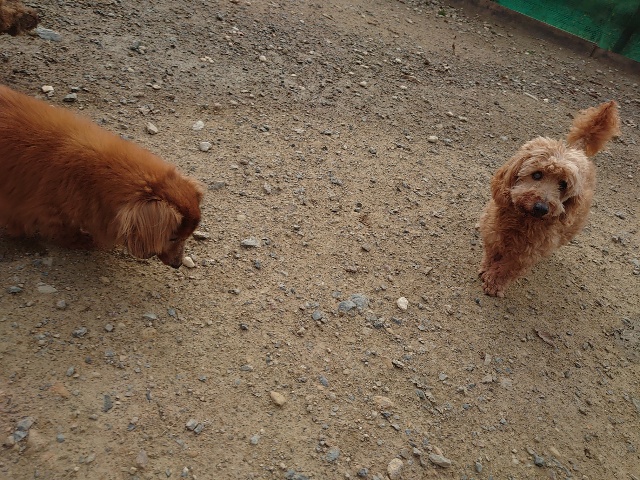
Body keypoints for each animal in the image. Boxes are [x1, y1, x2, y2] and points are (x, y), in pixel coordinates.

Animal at [0, 85, 203, 268]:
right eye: (173, 238)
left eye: (186, 236)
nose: (177, 265)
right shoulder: (46, 207)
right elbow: (62, 228)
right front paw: (81, 240)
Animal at [479, 101, 620, 297]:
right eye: (537, 174)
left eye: (563, 185)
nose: (541, 208)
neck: (522, 221)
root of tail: (578, 149)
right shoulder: (493, 229)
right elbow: (492, 251)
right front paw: (486, 268)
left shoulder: (527, 252)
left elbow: (508, 268)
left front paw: (494, 282)